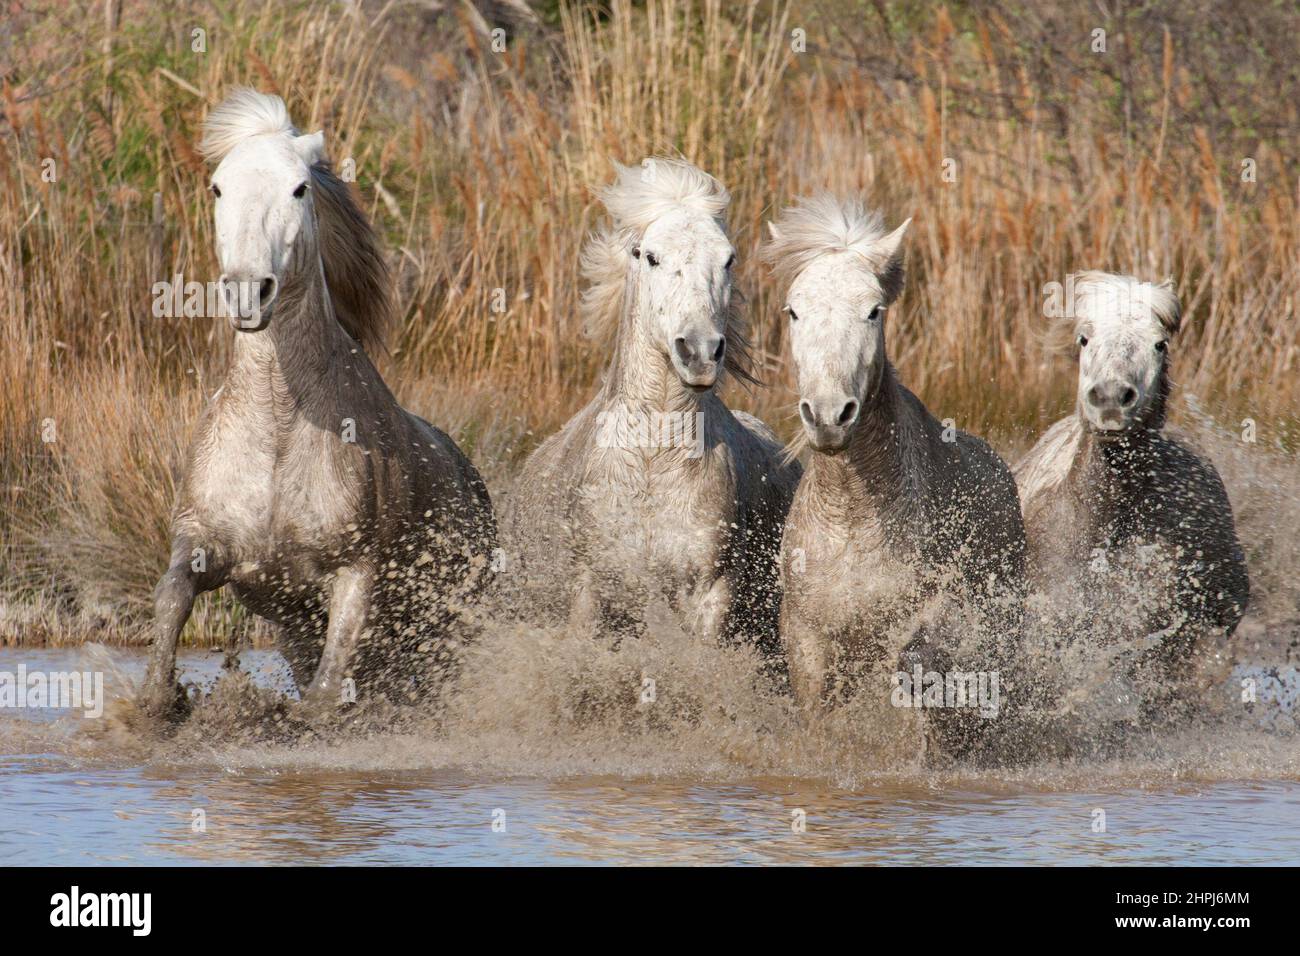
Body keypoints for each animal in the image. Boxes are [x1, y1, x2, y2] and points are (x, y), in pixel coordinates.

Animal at [135, 89, 491, 717]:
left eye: (299, 188)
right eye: (218, 188)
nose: (248, 292)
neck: (278, 425)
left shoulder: (354, 572)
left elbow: (326, 693)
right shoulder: (208, 544)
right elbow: (172, 594)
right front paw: (159, 699)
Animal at [506, 160, 800, 660]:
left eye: (728, 258)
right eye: (649, 256)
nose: (699, 352)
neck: (651, 460)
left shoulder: (711, 594)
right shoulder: (591, 596)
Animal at [759, 195, 1024, 743]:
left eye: (873, 310)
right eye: (794, 310)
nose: (829, 415)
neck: (853, 519)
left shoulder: (924, 626)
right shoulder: (807, 643)